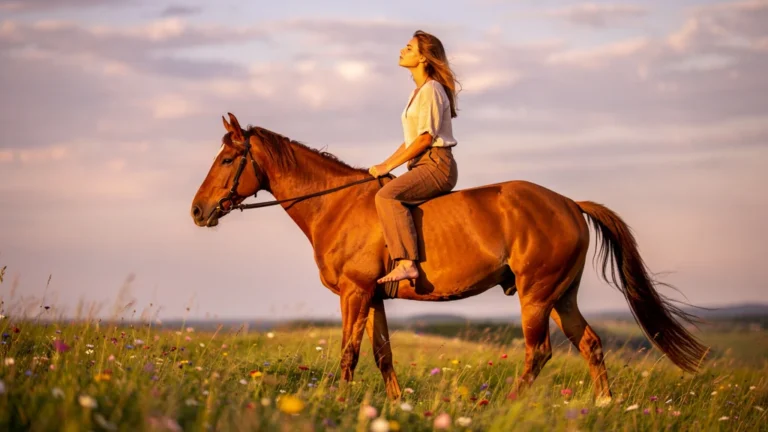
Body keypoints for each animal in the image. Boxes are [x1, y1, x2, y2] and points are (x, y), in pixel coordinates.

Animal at [190, 113, 709, 405]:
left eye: (226, 160)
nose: (197, 211)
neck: (336, 205)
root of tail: (568, 203)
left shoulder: (354, 294)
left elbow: (348, 354)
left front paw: (337, 404)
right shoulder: (374, 297)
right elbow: (382, 354)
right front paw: (395, 407)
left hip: (536, 295)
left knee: (538, 352)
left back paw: (501, 406)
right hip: (563, 295)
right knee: (591, 344)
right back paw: (604, 406)